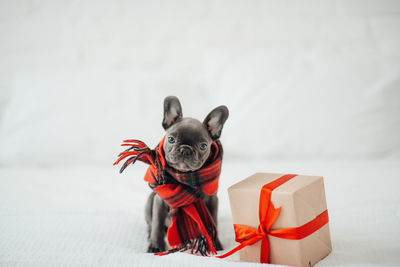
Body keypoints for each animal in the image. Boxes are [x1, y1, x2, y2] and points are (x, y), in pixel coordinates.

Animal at [145, 96, 230, 253]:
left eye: (203, 146)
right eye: (171, 139)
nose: (185, 149)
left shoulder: (212, 200)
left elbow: (213, 221)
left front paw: (215, 243)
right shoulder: (160, 201)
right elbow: (157, 226)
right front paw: (155, 246)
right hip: (149, 201)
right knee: (150, 224)